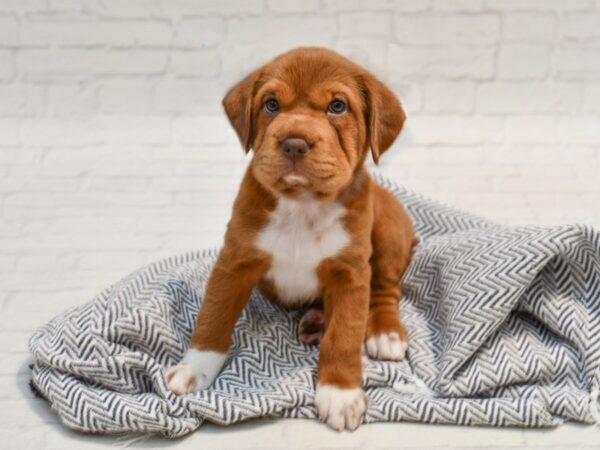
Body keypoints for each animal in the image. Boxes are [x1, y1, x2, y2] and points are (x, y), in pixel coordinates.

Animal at [166, 47, 414, 430]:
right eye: (271, 105)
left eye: (337, 106)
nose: (294, 143)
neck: (303, 205)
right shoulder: (234, 263)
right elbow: (212, 317)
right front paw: (195, 368)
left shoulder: (350, 274)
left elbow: (344, 335)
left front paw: (339, 393)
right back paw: (315, 321)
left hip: (388, 231)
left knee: (386, 290)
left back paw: (384, 333)